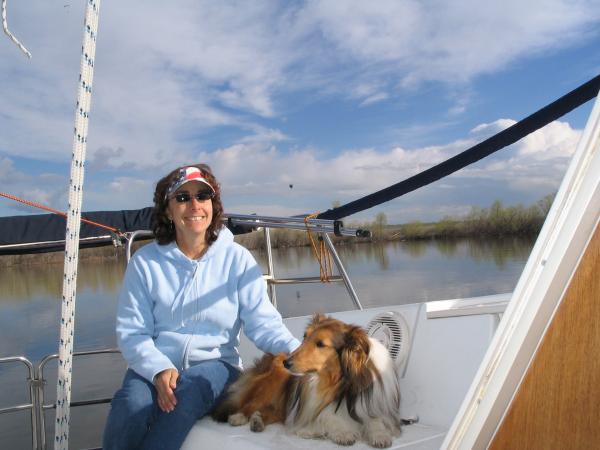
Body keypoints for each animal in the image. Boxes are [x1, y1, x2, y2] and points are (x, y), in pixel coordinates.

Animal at [211, 314, 404, 448]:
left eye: (321, 344)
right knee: (250, 404)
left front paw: (380, 435)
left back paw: (258, 420)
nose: (287, 362)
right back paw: (239, 416)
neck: (341, 384)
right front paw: (342, 432)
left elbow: (376, 420)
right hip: (272, 384)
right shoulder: (312, 407)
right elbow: (329, 417)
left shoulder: (374, 404)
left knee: (276, 412)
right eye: (305, 336)